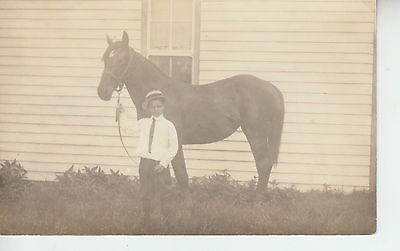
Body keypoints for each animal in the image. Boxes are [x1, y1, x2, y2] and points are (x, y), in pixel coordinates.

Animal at [97, 32, 284, 191]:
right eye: (106, 59)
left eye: (122, 59)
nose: (102, 92)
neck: (159, 96)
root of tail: (271, 87)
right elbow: (166, 178)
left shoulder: (175, 143)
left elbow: (181, 176)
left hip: (255, 134)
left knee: (263, 164)